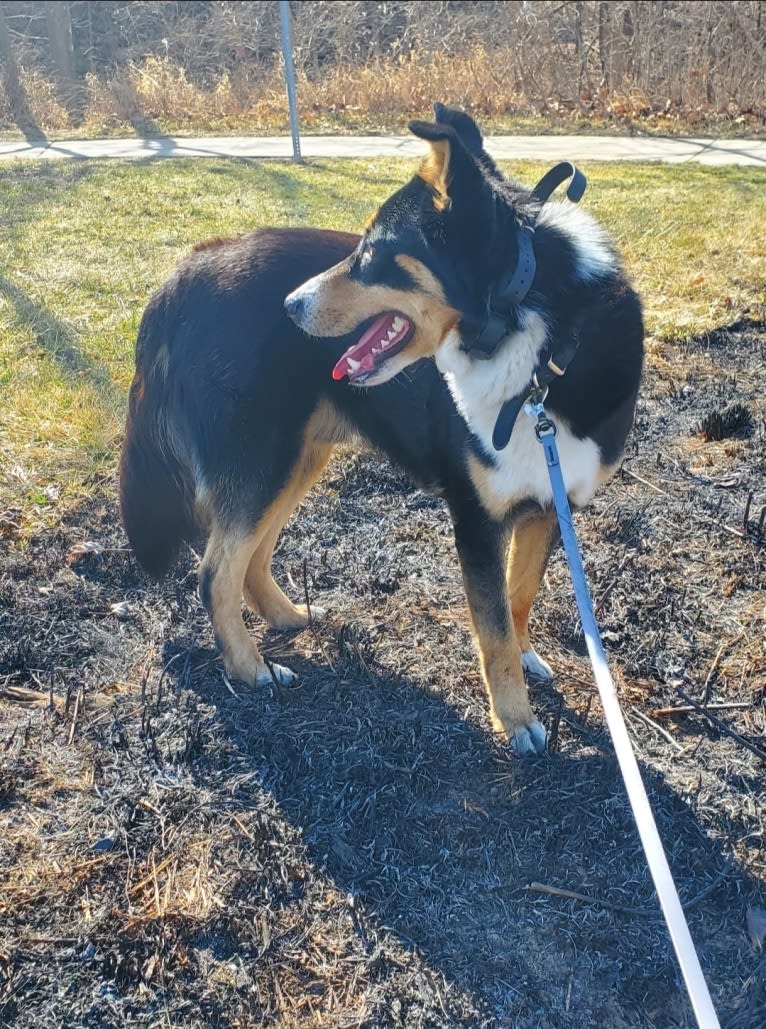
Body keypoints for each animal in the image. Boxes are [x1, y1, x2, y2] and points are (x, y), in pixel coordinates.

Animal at [120, 106, 646, 757]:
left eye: (374, 252)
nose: (290, 306)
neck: (533, 343)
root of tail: (184, 273)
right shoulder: (475, 519)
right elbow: (494, 628)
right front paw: (515, 719)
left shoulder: (549, 505)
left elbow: (518, 598)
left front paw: (526, 661)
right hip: (261, 459)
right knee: (216, 572)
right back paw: (250, 670)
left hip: (294, 459)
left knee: (252, 557)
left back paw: (287, 618)